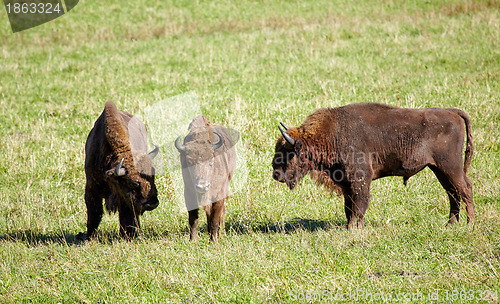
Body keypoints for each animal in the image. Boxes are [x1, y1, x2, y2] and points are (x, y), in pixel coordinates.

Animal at [84, 101, 158, 239]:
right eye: (132, 183)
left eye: (153, 178)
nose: (153, 203)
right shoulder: (91, 187)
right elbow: (94, 215)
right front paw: (88, 237)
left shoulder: (123, 198)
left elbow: (126, 217)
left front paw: (127, 235)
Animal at [272, 102, 474, 228]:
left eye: (288, 152)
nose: (276, 174)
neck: (333, 134)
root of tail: (452, 112)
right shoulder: (346, 184)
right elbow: (349, 207)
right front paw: (349, 228)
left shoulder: (360, 180)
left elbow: (359, 206)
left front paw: (356, 229)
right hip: (439, 169)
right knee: (452, 193)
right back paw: (450, 224)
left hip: (450, 166)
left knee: (465, 189)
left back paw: (470, 223)